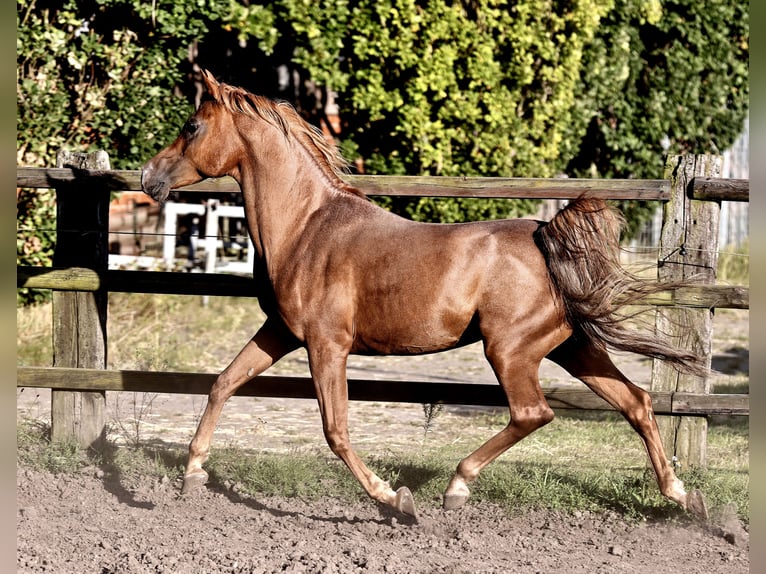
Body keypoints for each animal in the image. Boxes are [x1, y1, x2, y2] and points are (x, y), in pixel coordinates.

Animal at [141, 69, 708, 520]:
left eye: (192, 127)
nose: (149, 177)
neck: (306, 227)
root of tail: (546, 238)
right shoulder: (280, 332)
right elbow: (222, 383)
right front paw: (193, 475)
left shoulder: (327, 345)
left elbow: (335, 429)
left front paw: (396, 499)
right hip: (572, 347)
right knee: (636, 401)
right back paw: (684, 498)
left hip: (510, 350)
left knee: (534, 413)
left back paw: (456, 487)